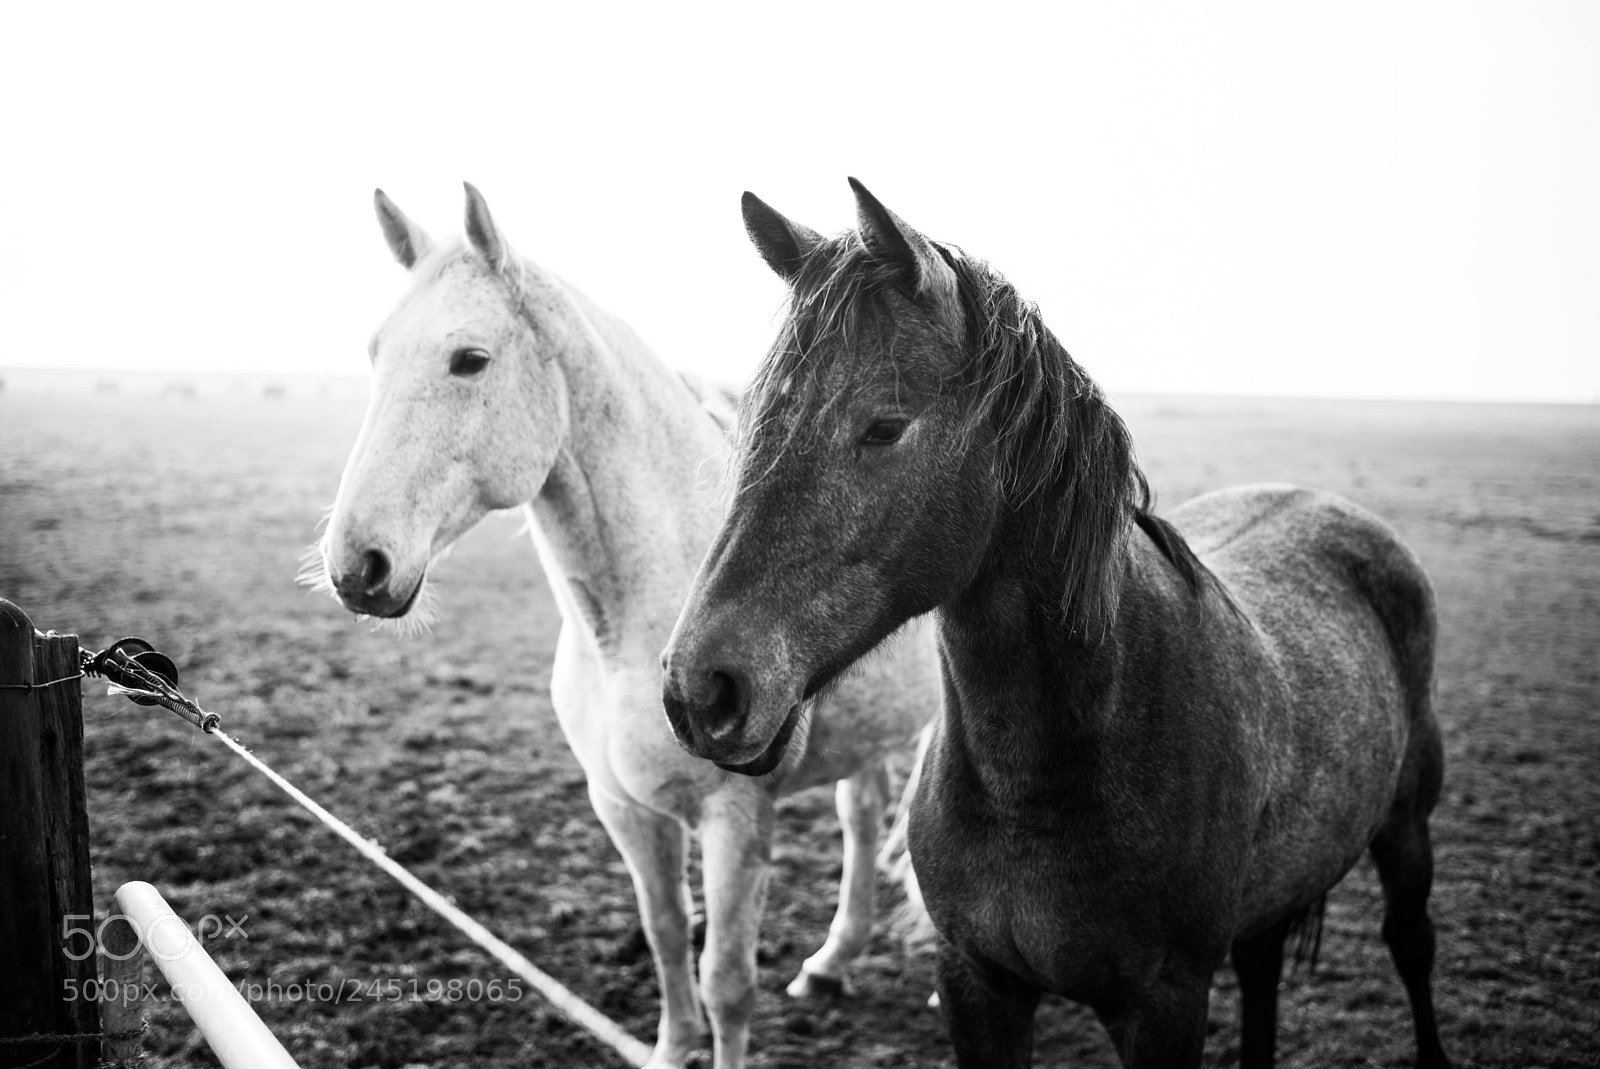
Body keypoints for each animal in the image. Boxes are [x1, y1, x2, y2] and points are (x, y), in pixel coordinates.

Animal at [309, 184, 941, 1069]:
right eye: (374, 352)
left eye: (470, 358)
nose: (355, 565)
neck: (630, 625)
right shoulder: (625, 810)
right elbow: (668, 935)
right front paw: (672, 1048)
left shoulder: (733, 820)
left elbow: (725, 979)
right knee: (862, 814)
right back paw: (829, 964)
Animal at [660, 178, 1452, 1069]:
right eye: (753, 419)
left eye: (884, 426)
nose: (701, 687)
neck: (1043, 772)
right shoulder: (975, 984)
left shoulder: (1164, 1003)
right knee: (1262, 968)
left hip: (1407, 828)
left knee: (1410, 942)